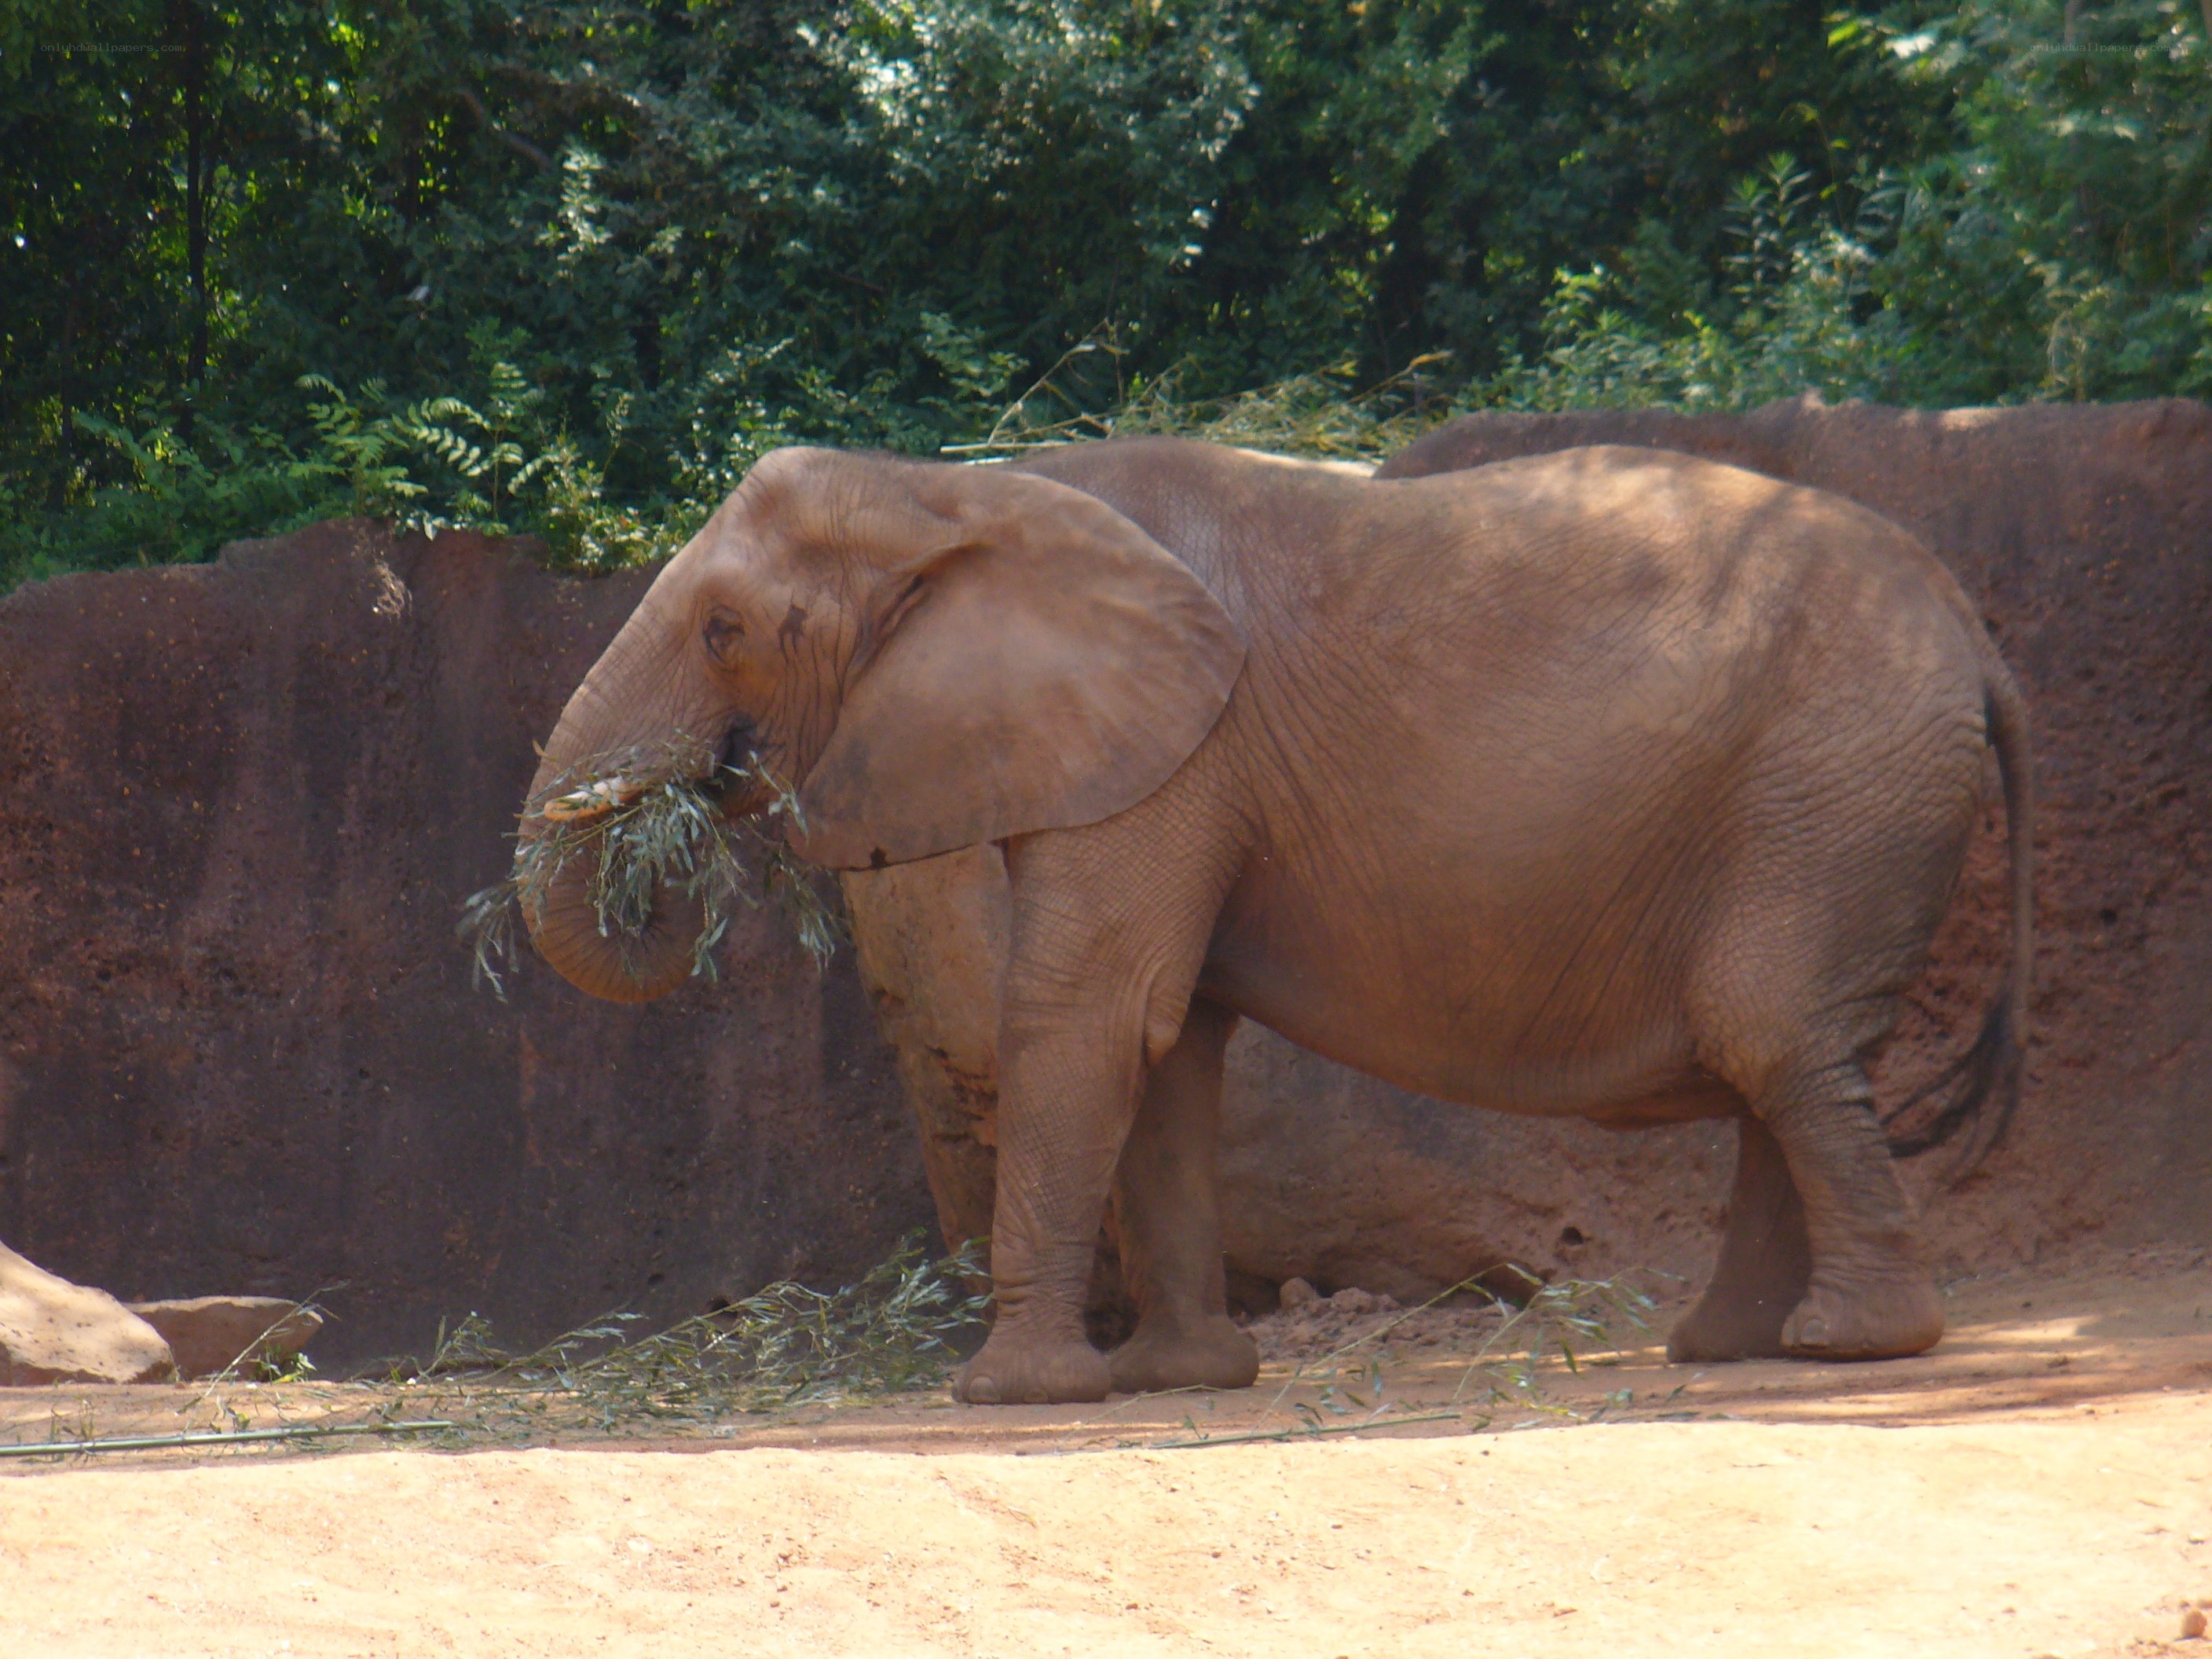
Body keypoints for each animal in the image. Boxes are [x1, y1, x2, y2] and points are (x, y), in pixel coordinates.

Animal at [516, 436, 2033, 1405]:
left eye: (723, 630)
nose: (689, 829)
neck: (962, 488)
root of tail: (1977, 634)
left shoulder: (1178, 753)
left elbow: (1085, 1012)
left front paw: (1012, 1396)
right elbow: (1170, 1042)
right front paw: (1178, 1379)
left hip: (1832, 788)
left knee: (1772, 1034)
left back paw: (1850, 1351)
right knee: (1786, 1056)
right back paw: (1739, 1351)